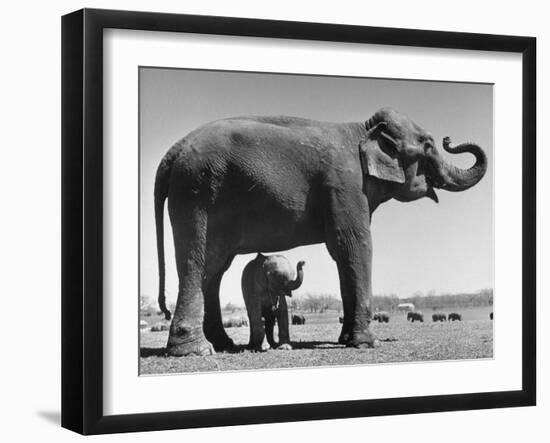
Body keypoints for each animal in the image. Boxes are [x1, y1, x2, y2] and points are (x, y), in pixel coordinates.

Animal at [155, 107, 488, 358]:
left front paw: (346, 340)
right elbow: (354, 245)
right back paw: (196, 351)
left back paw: (223, 344)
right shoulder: (345, 185)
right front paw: (367, 343)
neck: (363, 129)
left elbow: (342, 253)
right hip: (196, 194)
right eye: (428, 146)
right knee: (198, 263)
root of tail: (173, 151)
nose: (449, 138)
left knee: (215, 269)